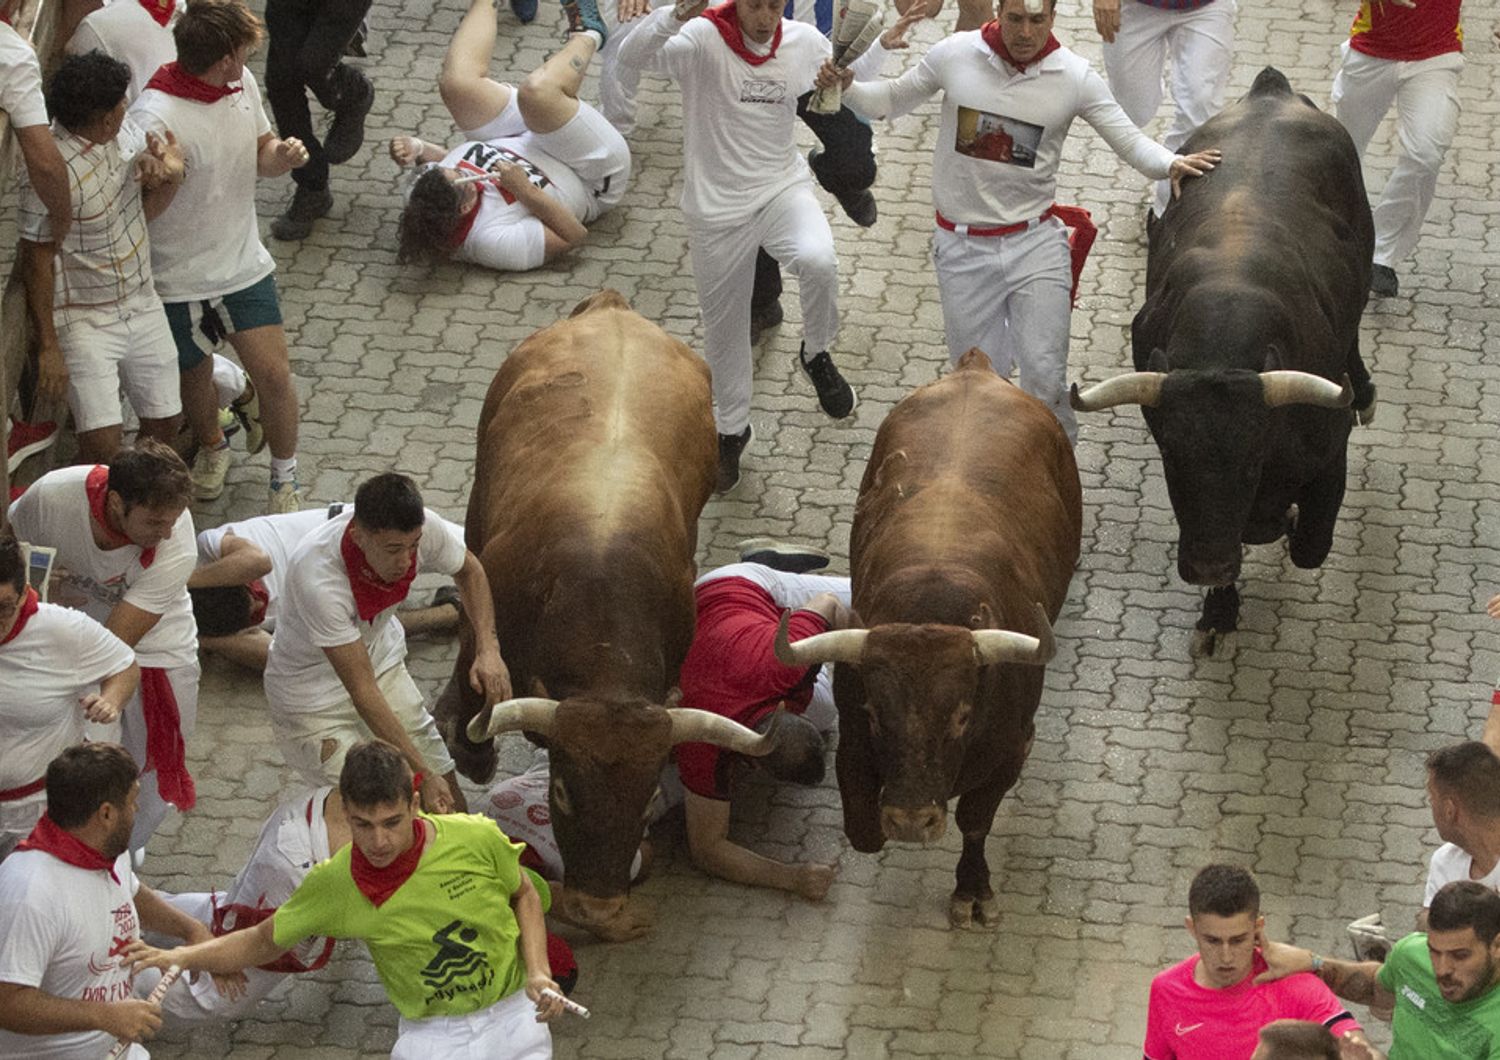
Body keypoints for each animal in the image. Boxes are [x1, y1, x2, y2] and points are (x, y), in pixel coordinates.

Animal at [435, 287, 780, 935]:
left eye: (646, 803)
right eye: (562, 794)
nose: (597, 908)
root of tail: (614, 309)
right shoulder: (487, 597)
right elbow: (475, 661)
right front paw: (470, 745)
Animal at [780, 350, 1086, 929]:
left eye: (963, 716)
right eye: (876, 713)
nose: (910, 820)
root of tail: (976, 369)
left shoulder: (1013, 748)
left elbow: (975, 820)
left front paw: (973, 890)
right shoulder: (854, 734)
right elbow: (861, 825)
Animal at [1074, 66, 1374, 653]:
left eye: (1253, 457)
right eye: (1171, 456)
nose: (1208, 566)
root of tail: (1271, 91)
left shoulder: (1330, 454)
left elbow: (1310, 544)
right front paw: (1219, 608)